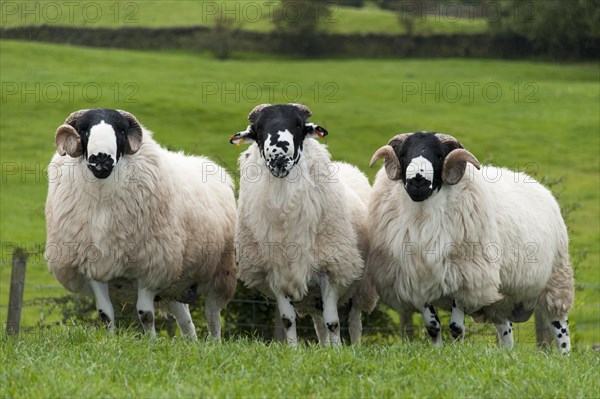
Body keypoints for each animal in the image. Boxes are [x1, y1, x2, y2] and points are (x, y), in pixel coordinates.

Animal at [45, 108, 237, 340]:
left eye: (120, 130)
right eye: (84, 129)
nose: (101, 158)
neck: (102, 198)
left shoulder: (151, 266)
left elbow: (145, 314)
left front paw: (151, 343)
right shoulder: (93, 266)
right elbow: (105, 314)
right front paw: (109, 341)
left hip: (220, 273)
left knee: (212, 315)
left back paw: (214, 343)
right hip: (177, 282)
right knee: (186, 320)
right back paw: (192, 343)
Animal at [230, 103, 376, 346]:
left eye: (298, 125)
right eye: (258, 128)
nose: (279, 158)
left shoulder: (330, 268)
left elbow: (333, 322)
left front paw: (338, 351)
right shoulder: (277, 273)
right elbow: (288, 321)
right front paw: (293, 350)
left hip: (358, 286)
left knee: (354, 322)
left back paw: (353, 347)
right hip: (312, 296)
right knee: (319, 323)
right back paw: (324, 348)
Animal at [368, 133, 576, 352]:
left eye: (439, 155)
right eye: (403, 154)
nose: (418, 180)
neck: (424, 216)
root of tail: (538, 186)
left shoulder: (468, 279)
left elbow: (456, 327)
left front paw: (456, 351)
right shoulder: (417, 279)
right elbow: (433, 326)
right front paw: (438, 350)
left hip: (556, 280)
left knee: (560, 326)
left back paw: (564, 355)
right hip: (501, 298)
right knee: (505, 330)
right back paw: (506, 354)